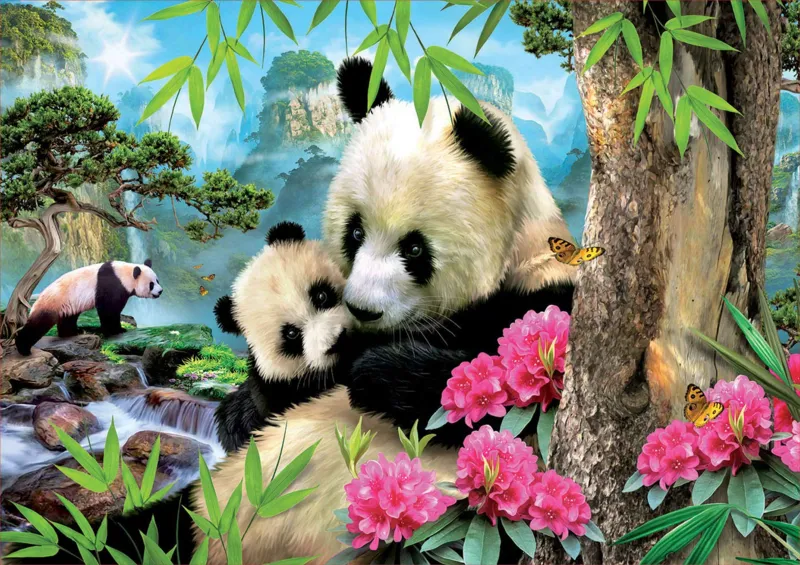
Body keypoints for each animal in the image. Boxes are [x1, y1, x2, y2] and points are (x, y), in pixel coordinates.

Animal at [15, 260, 162, 356]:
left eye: (157, 280)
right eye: (151, 284)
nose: (160, 291)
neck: (124, 274)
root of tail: (38, 298)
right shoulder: (111, 284)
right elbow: (108, 309)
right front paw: (117, 330)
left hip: (68, 304)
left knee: (68, 319)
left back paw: (72, 333)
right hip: (53, 302)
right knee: (39, 323)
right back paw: (23, 348)